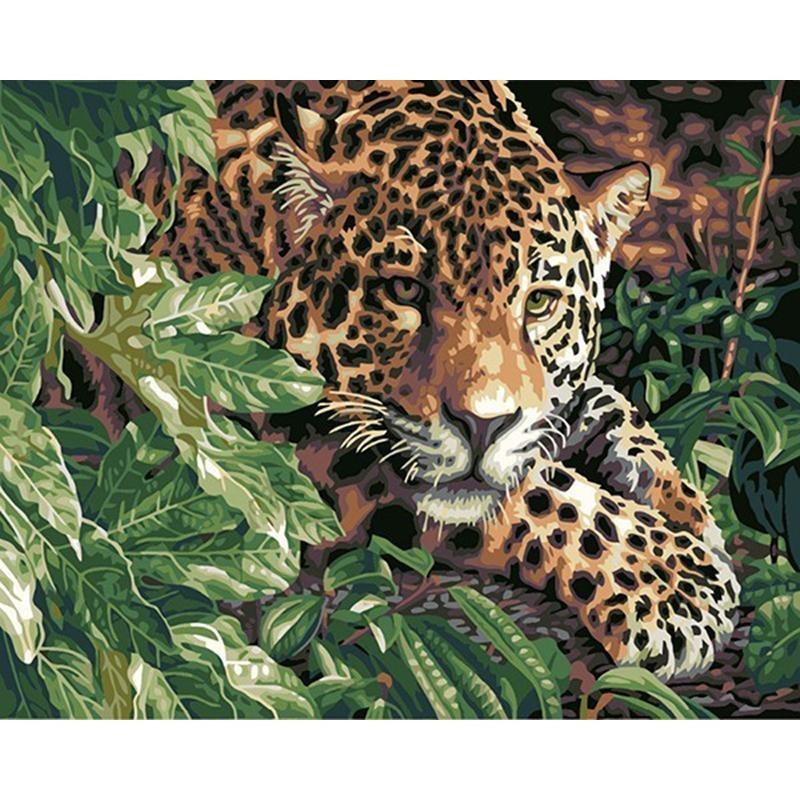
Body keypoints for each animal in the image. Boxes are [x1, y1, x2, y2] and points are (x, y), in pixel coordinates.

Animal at [122, 80, 740, 681]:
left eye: (540, 302)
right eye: (404, 290)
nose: (482, 426)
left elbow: (608, 413)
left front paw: (688, 510)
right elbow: (539, 491)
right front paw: (676, 582)